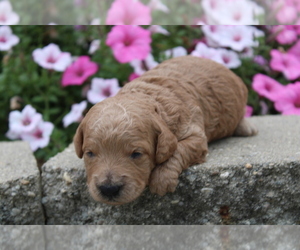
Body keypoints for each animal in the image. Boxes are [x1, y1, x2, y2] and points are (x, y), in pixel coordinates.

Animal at [74, 56, 256, 205]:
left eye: (136, 154)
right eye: (90, 153)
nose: (109, 189)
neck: (149, 95)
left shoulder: (194, 134)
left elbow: (179, 148)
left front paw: (162, 179)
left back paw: (246, 128)